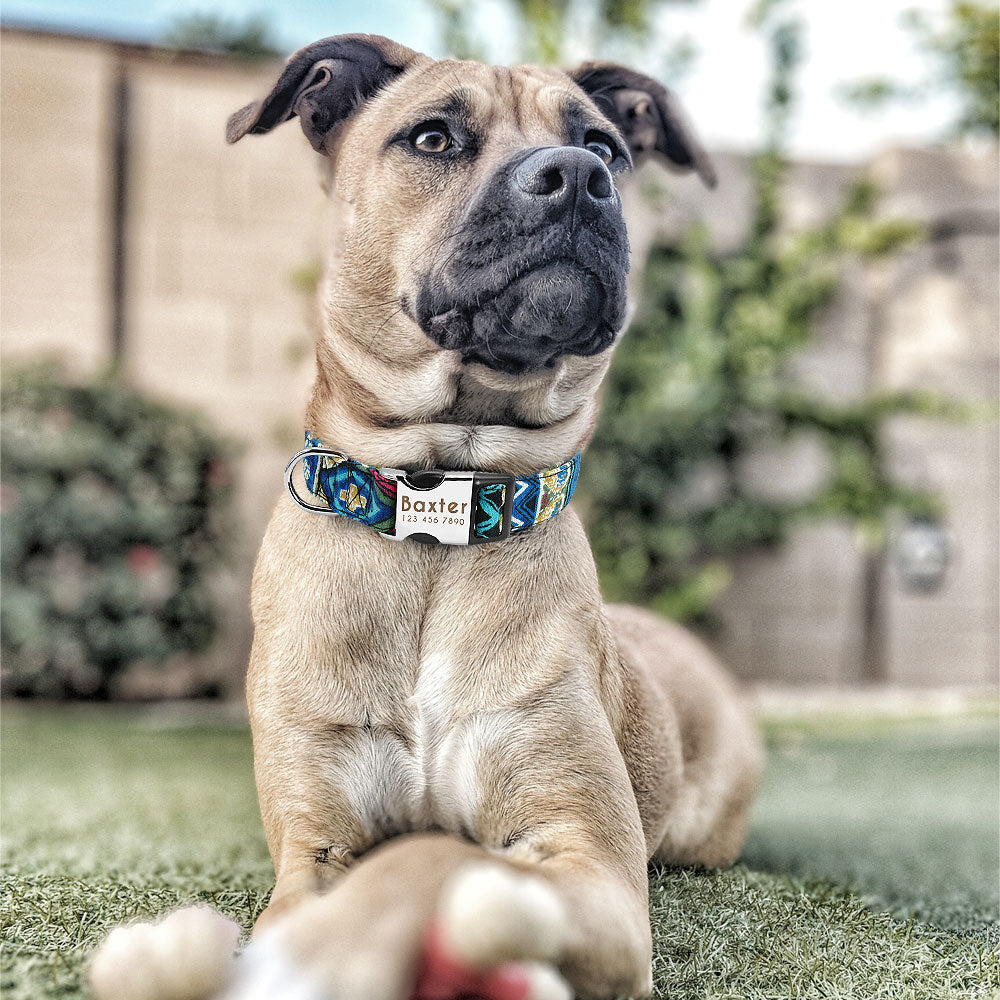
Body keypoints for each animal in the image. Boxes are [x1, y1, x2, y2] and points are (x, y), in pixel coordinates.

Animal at [88, 31, 756, 1000]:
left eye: (602, 145)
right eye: (434, 138)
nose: (577, 177)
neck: (440, 511)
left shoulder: (584, 851)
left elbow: (437, 857)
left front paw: (321, 957)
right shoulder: (314, 836)